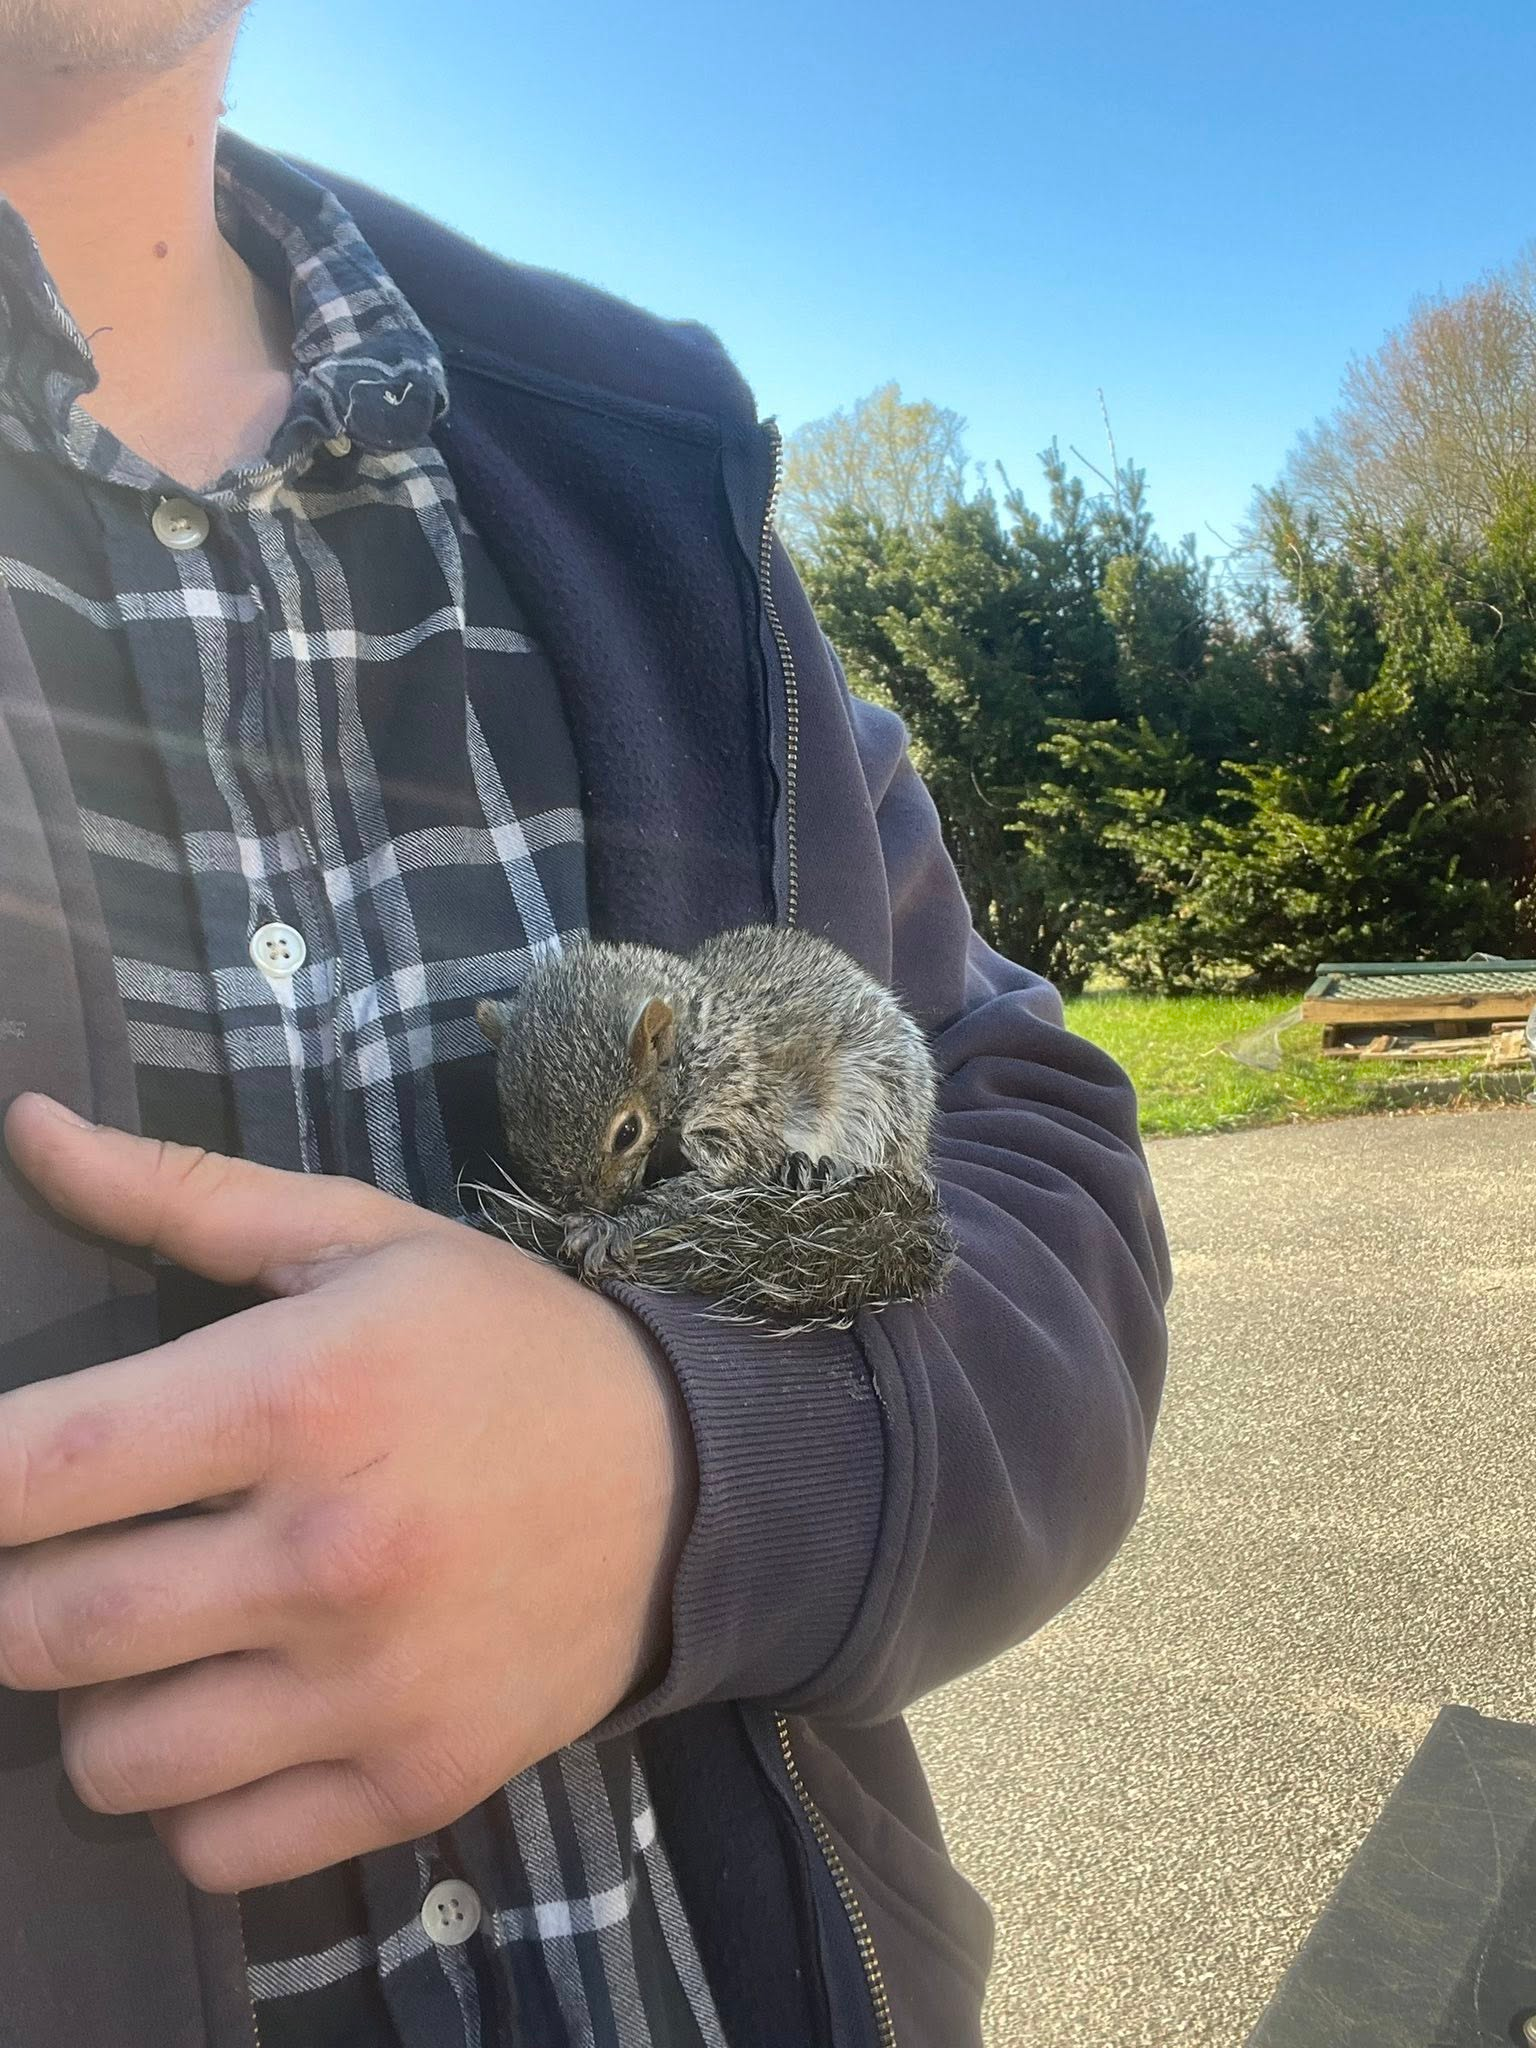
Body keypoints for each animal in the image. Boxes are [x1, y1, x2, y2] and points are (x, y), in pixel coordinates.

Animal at [473, 925, 953, 1326]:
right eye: (513, 1131)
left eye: (627, 1133)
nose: (596, 1204)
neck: (696, 1041)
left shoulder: (739, 1104)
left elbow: (722, 1177)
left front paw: (613, 1227)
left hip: (885, 1102)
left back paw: (826, 1168)